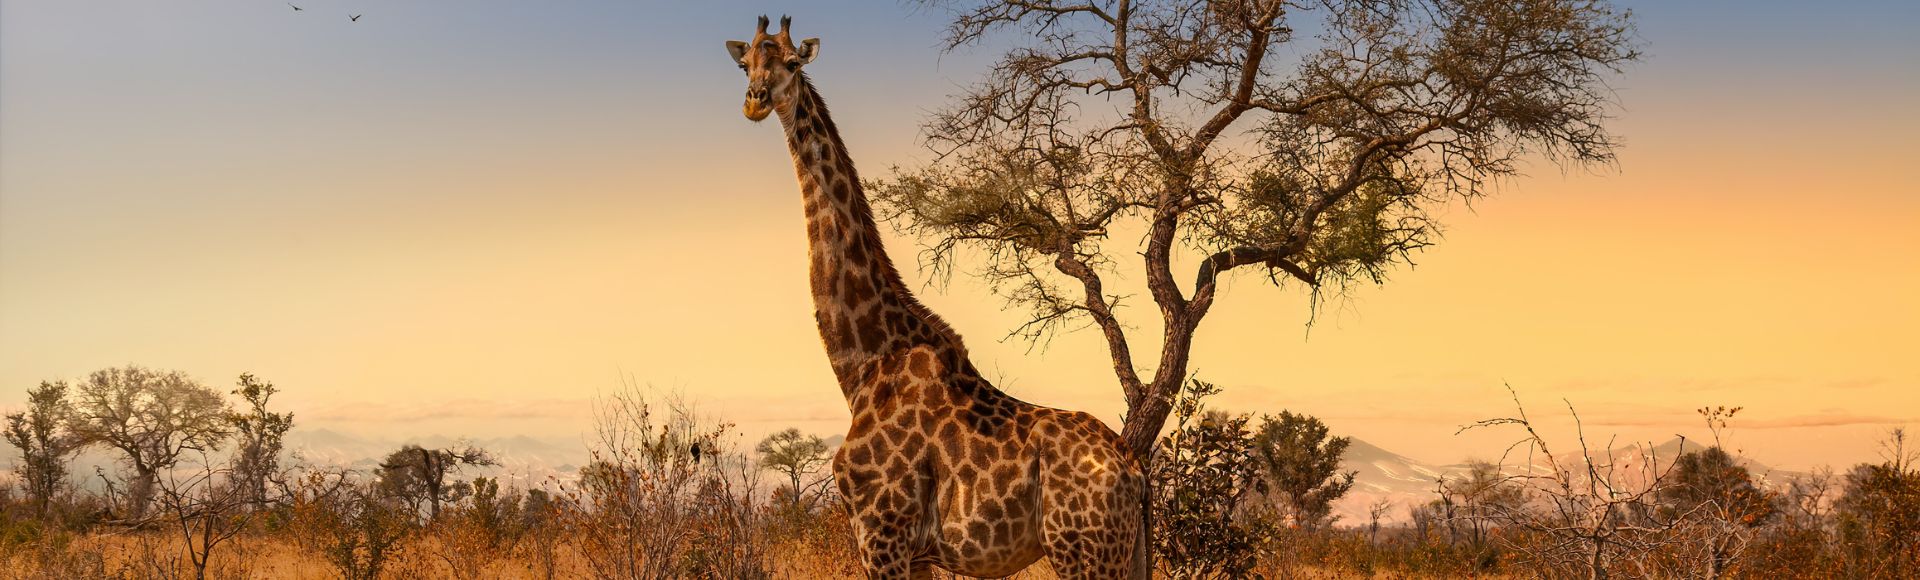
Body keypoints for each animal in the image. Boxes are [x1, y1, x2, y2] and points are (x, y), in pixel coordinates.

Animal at [727, 16, 1146, 580]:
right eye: (746, 63)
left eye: (792, 64)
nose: (756, 100)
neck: (864, 363)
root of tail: (1134, 470)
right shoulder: (914, 549)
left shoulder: (882, 533)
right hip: (1123, 552)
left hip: (1084, 552)